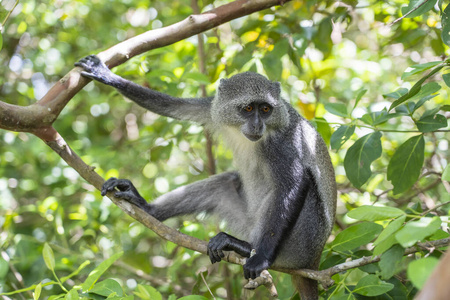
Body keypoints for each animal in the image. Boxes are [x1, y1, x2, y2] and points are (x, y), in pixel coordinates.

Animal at [75, 55, 338, 298]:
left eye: (265, 109)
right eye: (248, 108)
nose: (257, 125)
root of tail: (313, 262)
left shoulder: (285, 143)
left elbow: (294, 184)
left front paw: (261, 258)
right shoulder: (213, 108)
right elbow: (175, 107)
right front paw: (106, 75)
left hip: (297, 246)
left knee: (304, 191)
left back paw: (245, 248)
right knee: (225, 183)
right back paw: (146, 208)